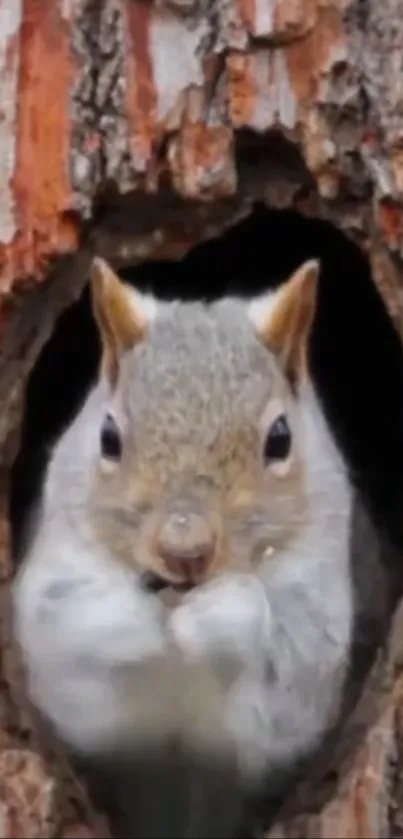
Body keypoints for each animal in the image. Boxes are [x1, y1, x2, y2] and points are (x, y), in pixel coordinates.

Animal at [14, 260, 358, 836]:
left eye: (281, 438)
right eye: (108, 437)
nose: (185, 550)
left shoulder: (315, 641)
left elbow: (279, 691)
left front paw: (220, 613)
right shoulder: (51, 595)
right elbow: (72, 635)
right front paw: (136, 617)